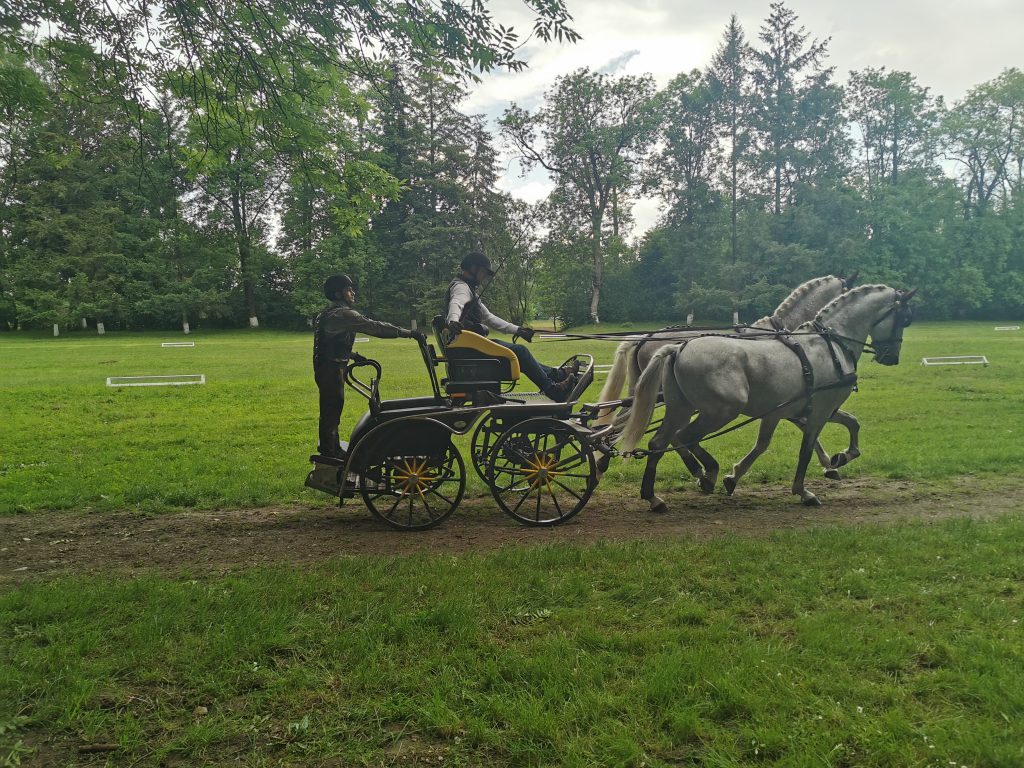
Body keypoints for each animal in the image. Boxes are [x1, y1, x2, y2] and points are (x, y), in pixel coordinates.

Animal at [596, 273, 864, 476]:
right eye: (846, 289)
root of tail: (646, 337)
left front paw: (829, 463)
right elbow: (808, 426)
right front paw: (830, 464)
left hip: (648, 394)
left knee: (626, 423)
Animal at [615, 285, 915, 509]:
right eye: (905, 319)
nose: (892, 357)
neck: (828, 345)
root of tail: (678, 348)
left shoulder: (781, 412)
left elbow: (848, 424)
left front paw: (839, 459)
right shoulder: (819, 410)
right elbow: (807, 449)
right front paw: (804, 489)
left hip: (681, 407)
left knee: (659, 443)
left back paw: (654, 496)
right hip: (721, 410)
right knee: (685, 437)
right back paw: (707, 473)